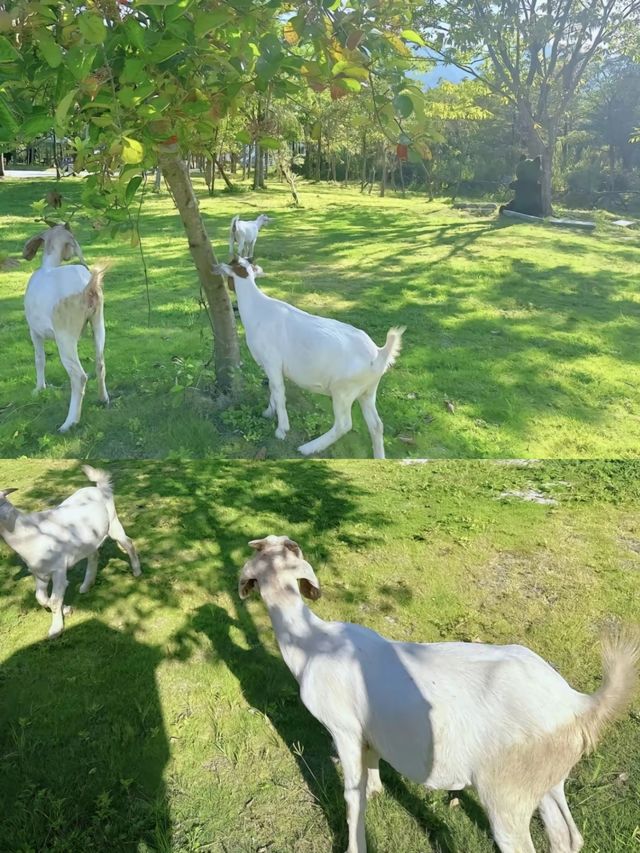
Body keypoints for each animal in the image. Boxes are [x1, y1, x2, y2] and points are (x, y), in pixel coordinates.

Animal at [0, 466, 141, 640]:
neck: (28, 534)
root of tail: (100, 488)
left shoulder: (58, 568)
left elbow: (54, 600)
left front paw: (56, 629)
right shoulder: (40, 572)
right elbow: (41, 598)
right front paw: (65, 609)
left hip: (113, 522)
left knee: (128, 543)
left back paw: (136, 571)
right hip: (90, 540)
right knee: (94, 556)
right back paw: (86, 586)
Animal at [23, 223, 109, 430]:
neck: (49, 266)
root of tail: (87, 287)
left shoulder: (34, 331)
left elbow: (39, 359)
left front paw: (39, 389)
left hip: (65, 336)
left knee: (79, 376)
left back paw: (69, 423)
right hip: (98, 323)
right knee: (100, 363)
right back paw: (103, 399)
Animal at [215, 256, 404, 460]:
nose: (216, 268)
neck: (257, 308)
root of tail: (379, 354)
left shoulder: (272, 361)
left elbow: (278, 391)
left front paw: (281, 429)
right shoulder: (271, 367)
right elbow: (273, 389)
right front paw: (268, 412)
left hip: (344, 390)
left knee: (344, 424)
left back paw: (308, 448)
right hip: (368, 390)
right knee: (376, 425)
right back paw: (379, 458)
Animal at [239, 532, 640, 852]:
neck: (310, 642)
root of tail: (577, 703)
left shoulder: (344, 729)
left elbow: (351, 796)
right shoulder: (369, 732)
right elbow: (371, 769)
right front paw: (376, 790)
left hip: (506, 792)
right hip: (547, 779)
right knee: (567, 835)